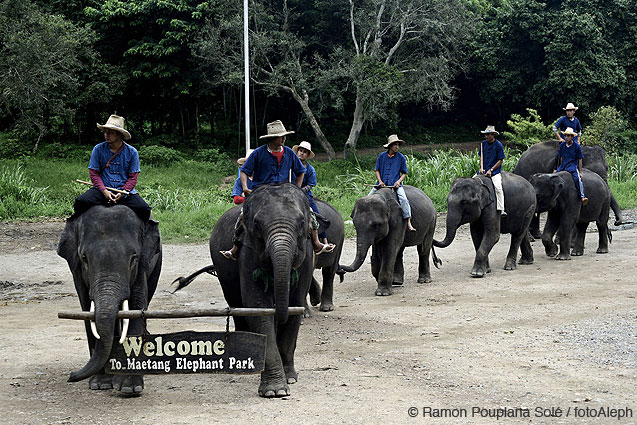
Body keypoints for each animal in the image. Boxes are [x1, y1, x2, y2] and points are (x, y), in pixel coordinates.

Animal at [57, 204, 161, 392]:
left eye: (133, 258)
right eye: (84, 258)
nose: (71, 376)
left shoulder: (143, 263)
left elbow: (136, 305)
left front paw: (130, 388)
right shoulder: (76, 270)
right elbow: (87, 310)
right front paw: (101, 384)